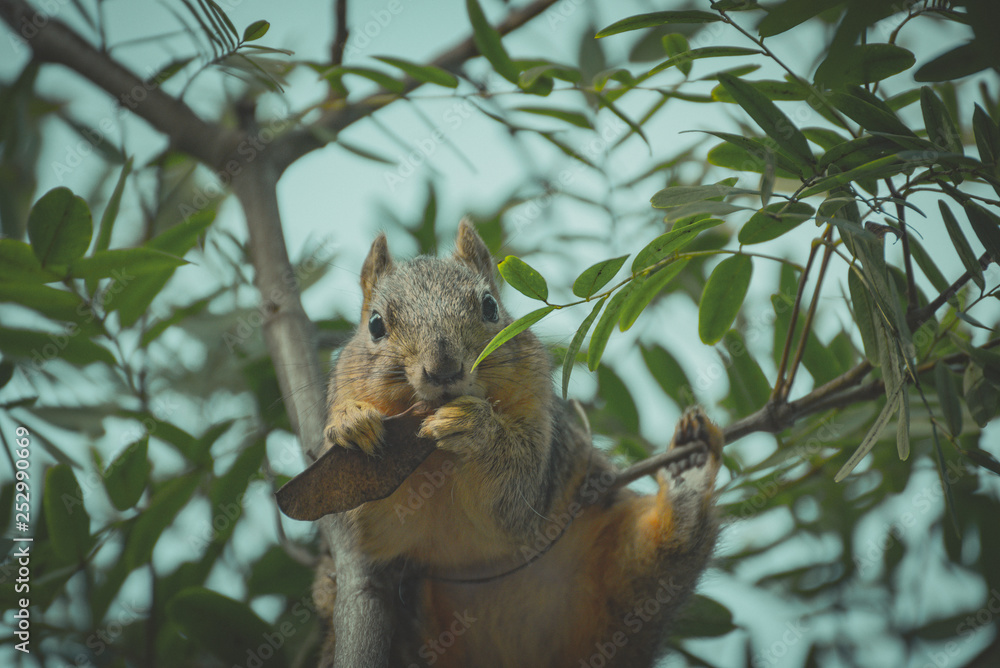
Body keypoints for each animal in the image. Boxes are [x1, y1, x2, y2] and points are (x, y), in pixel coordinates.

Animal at [313, 219, 723, 668]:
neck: (435, 457)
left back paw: (688, 480)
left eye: (491, 307)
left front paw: (475, 428)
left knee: (667, 553)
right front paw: (352, 423)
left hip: (628, 584)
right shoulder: (369, 530)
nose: (444, 369)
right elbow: (370, 522)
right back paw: (328, 591)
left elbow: (517, 494)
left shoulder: (542, 428)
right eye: (375, 325)